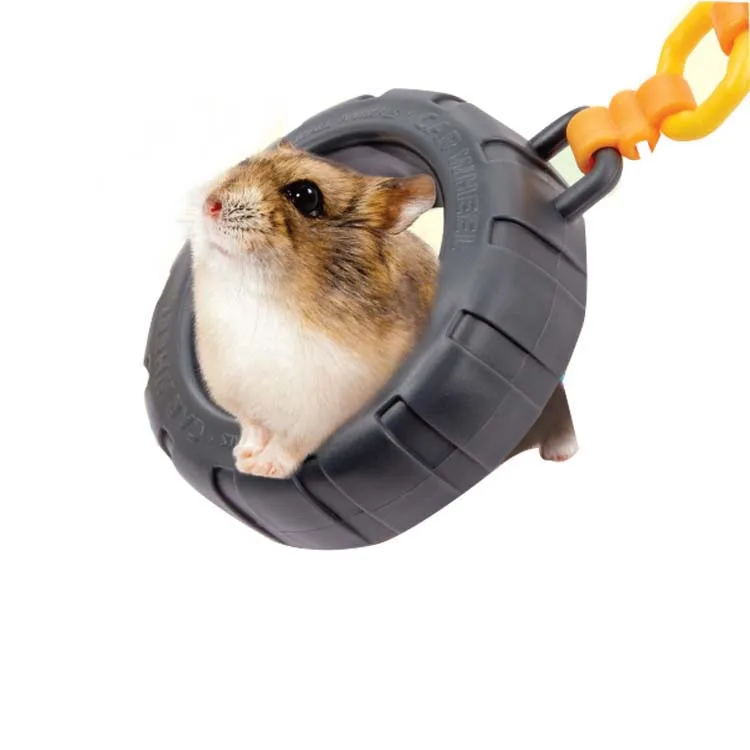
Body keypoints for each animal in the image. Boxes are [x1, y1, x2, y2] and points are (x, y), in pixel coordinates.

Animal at [186, 139, 578, 479]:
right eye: (244, 161)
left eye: (305, 196)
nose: (210, 205)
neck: (262, 292)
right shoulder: (244, 402)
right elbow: (252, 428)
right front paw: (243, 456)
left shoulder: (315, 414)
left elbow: (287, 446)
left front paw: (260, 468)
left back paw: (564, 453)